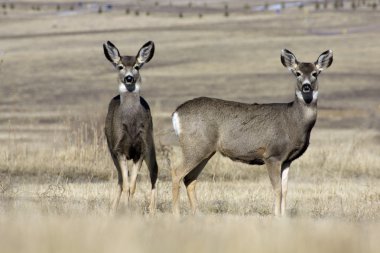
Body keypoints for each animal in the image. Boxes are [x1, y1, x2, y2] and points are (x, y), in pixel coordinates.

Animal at [102, 40, 157, 213]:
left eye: (137, 66)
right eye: (120, 66)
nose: (129, 78)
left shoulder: (141, 148)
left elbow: (132, 186)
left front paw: (130, 210)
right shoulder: (118, 148)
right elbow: (126, 184)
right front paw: (125, 210)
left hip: (150, 142)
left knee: (154, 170)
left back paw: (152, 210)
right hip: (111, 148)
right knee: (120, 178)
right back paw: (113, 209)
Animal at [171, 49, 332, 215]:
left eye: (315, 73)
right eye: (297, 73)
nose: (306, 87)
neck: (294, 121)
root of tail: (176, 113)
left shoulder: (287, 159)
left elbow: (285, 190)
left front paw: (283, 216)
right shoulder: (272, 155)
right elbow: (277, 189)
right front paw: (276, 215)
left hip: (204, 150)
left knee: (189, 178)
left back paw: (197, 214)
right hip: (195, 146)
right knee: (176, 173)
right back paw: (176, 214)